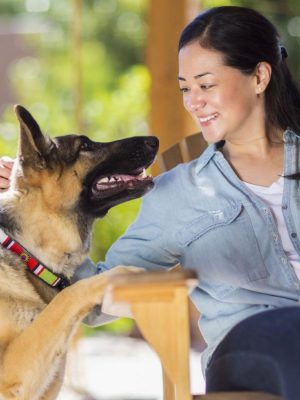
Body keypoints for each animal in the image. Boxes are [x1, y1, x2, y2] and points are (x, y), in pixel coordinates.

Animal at [0, 104, 159, 398]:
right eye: (85, 145)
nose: (153, 140)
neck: (27, 252)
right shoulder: (10, 372)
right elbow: (70, 295)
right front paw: (122, 274)